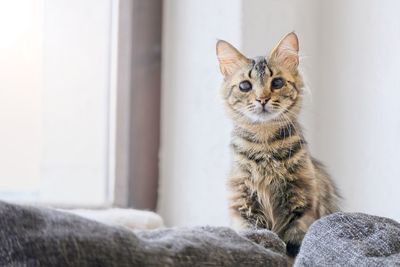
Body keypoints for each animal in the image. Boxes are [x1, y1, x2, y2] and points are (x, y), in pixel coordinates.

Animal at [217, 32, 340, 258]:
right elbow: (258, 237)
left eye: (277, 82)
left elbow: (293, 249)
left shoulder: (302, 203)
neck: (265, 146)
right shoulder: (245, 203)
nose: (262, 99)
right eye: (245, 86)